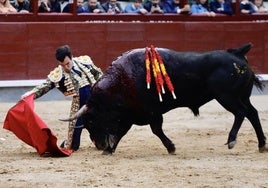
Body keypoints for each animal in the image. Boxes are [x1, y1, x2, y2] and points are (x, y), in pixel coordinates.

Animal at [83, 43, 266, 155]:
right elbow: (122, 131)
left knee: (241, 113)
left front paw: (171, 147)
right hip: (242, 96)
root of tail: (237, 52)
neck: (123, 79)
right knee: (253, 113)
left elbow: (156, 129)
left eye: (91, 120)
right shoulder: (131, 114)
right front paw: (109, 150)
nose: (99, 145)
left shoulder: (152, 111)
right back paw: (262, 145)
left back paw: (231, 140)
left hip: (227, 97)